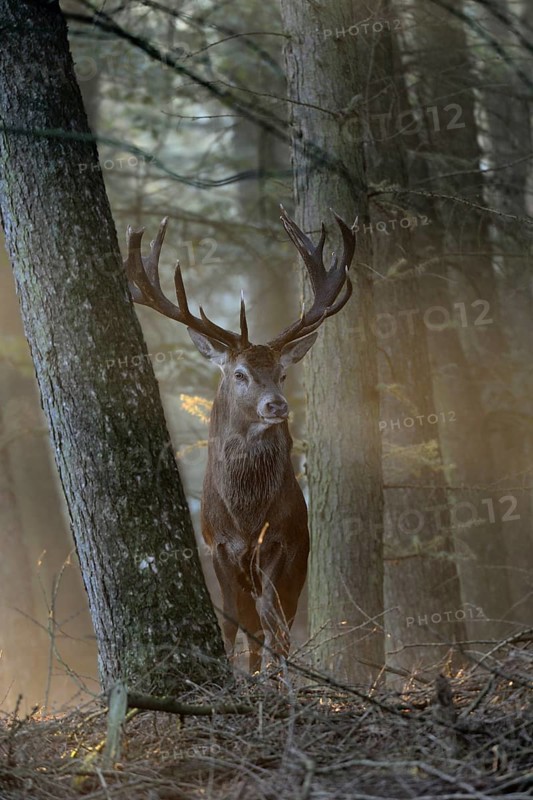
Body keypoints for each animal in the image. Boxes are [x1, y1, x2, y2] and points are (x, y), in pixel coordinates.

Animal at [124, 207, 355, 673]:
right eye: (240, 374)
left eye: (282, 373)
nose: (277, 405)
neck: (246, 518)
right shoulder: (218, 545)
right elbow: (234, 624)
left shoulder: (283, 541)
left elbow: (272, 619)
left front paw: (275, 676)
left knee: (276, 618)